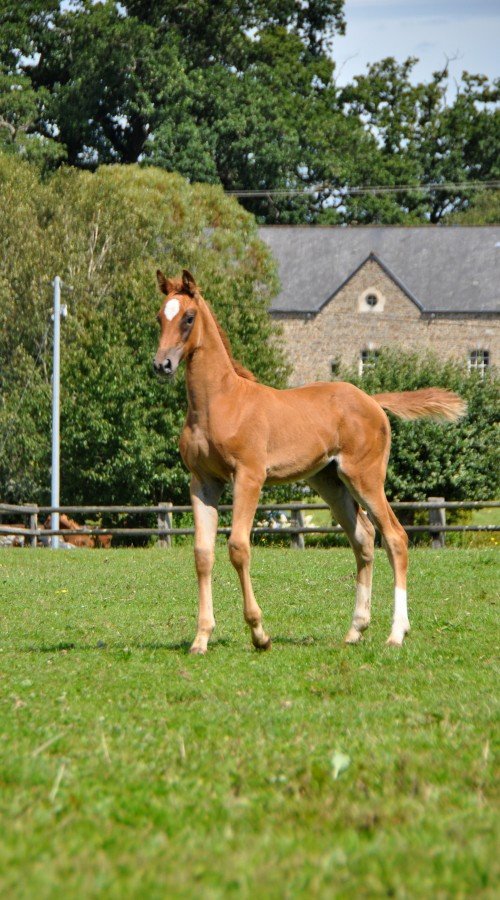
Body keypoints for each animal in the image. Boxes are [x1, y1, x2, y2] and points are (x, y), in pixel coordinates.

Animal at [153, 269, 465, 654]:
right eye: (159, 317)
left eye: (188, 317)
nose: (162, 364)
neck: (220, 403)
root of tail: (373, 400)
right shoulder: (202, 482)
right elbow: (202, 553)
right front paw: (201, 638)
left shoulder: (249, 476)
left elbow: (238, 547)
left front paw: (259, 634)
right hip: (330, 481)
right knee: (363, 538)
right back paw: (355, 629)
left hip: (365, 477)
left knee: (395, 537)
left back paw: (396, 633)